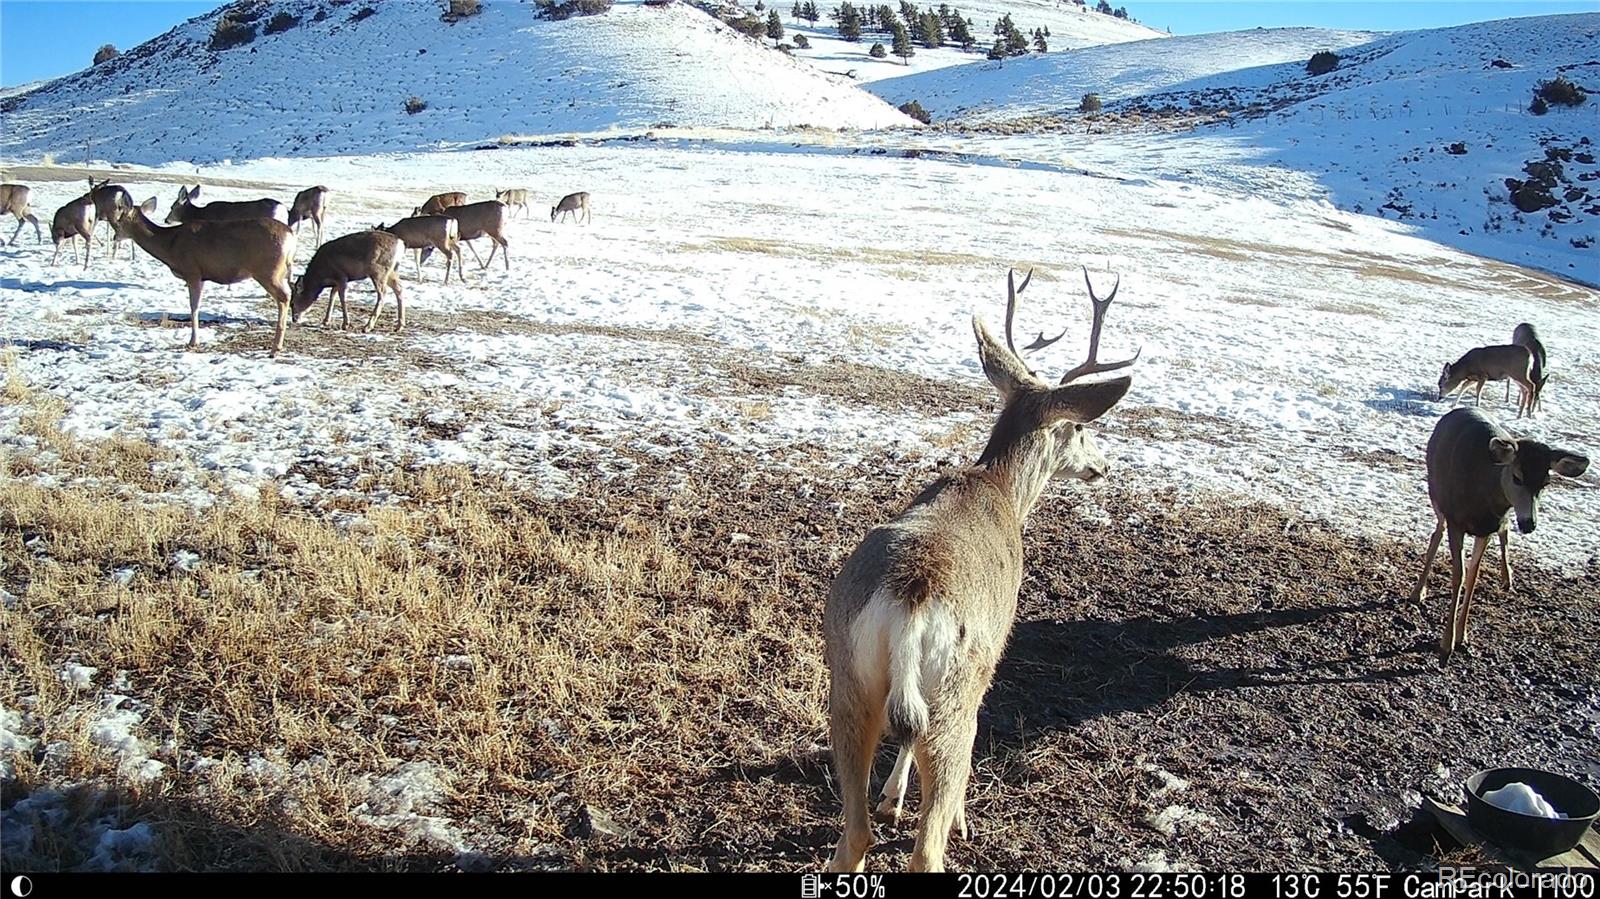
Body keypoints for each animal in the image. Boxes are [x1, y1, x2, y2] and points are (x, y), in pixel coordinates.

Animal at [116, 204, 300, 355]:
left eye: (120, 221)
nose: (115, 237)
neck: (170, 245)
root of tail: (291, 235)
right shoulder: (202, 276)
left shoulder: (192, 271)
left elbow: (194, 306)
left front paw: (193, 342)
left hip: (268, 271)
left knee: (284, 296)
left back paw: (276, 347)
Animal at [825, 265, 1139, 870]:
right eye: (1079, 429)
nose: (1103, 466)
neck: (1002, 490)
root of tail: (912, 600)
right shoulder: (996, 650)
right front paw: (957, 816)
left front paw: (892, 798)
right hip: (958, 685)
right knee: (926, 841)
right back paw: (950, 826)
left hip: (847, 677)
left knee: (855, 831)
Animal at [1414, 406, 1587, 659]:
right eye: (1517, 477)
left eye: (1545, 483)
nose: (1529, 524)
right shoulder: (1457, 521)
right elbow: (1459, 576)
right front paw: (1446, 643)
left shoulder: (1488, 527)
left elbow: (1473, 576)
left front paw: (1462, 636)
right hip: (1437, 494)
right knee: (1438, 530)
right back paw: (1418, 592)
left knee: (1504, 532)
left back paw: (1507, 578)